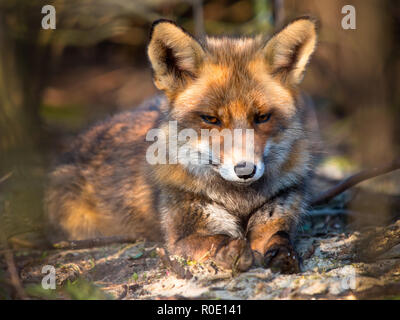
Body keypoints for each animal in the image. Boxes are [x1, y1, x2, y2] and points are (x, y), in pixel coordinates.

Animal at [45, 16, 318, 272]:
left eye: (262, 117)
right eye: (211, 119)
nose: (245, 170)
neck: (239, 202)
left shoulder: (276, 214)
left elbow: (279, 238)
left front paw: (283, 256)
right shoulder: (183, 233)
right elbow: (216, 241)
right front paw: (233, 252)